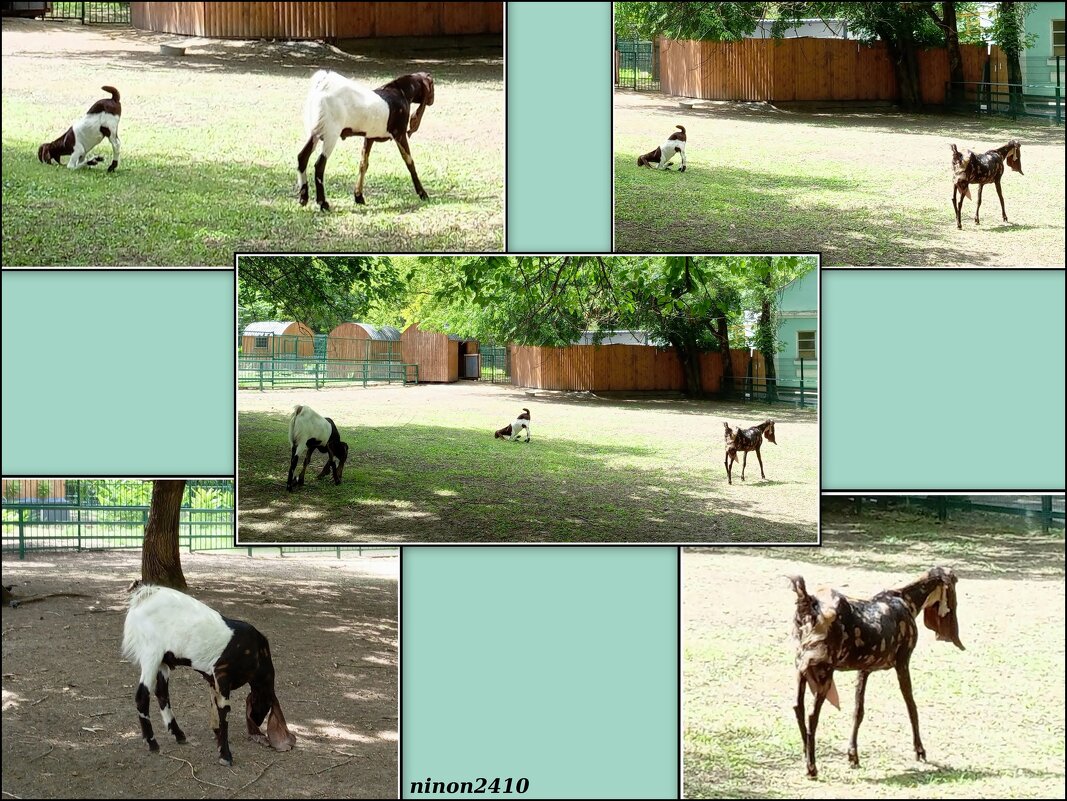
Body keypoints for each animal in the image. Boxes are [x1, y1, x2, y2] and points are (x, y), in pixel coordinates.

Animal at [122, 584, 294, 763]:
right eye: (264, 705)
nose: (257, 722)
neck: (258, 653)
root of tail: (144, 596)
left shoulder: (213, 680)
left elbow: (214, 706)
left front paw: (218, 738)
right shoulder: (222, 674)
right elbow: (224, 712)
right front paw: (225, 754)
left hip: (163, 661)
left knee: (162, 693)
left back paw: (179, 735)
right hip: (151, 654)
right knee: (142, 696)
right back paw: (152, 742)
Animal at [296, 69, 433, 210]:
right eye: (431, 83)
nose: (431, 100)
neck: (400, 91)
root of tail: (322, 85)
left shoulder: (369, 137)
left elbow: (363, 164)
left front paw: (358, 196)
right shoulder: (399, 134)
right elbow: (409, 162)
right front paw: (422, 193)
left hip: (315, 133)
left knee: (302, 157)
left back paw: (303, 197)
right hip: (330, 134)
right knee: (319, 164)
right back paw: (323, 203)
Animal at [785, 567, 968, 780]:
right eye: (955, 580)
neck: (906, 601)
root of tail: (808, 602)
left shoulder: (864, 669)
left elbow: (858, 711)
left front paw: (853, 756)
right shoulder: (903, 662)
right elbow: (911, 705)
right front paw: (920, 751)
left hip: (801, 670)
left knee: (798, 707)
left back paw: (806, 754)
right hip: (824, 673)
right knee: (812, 715)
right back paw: (812, 768)